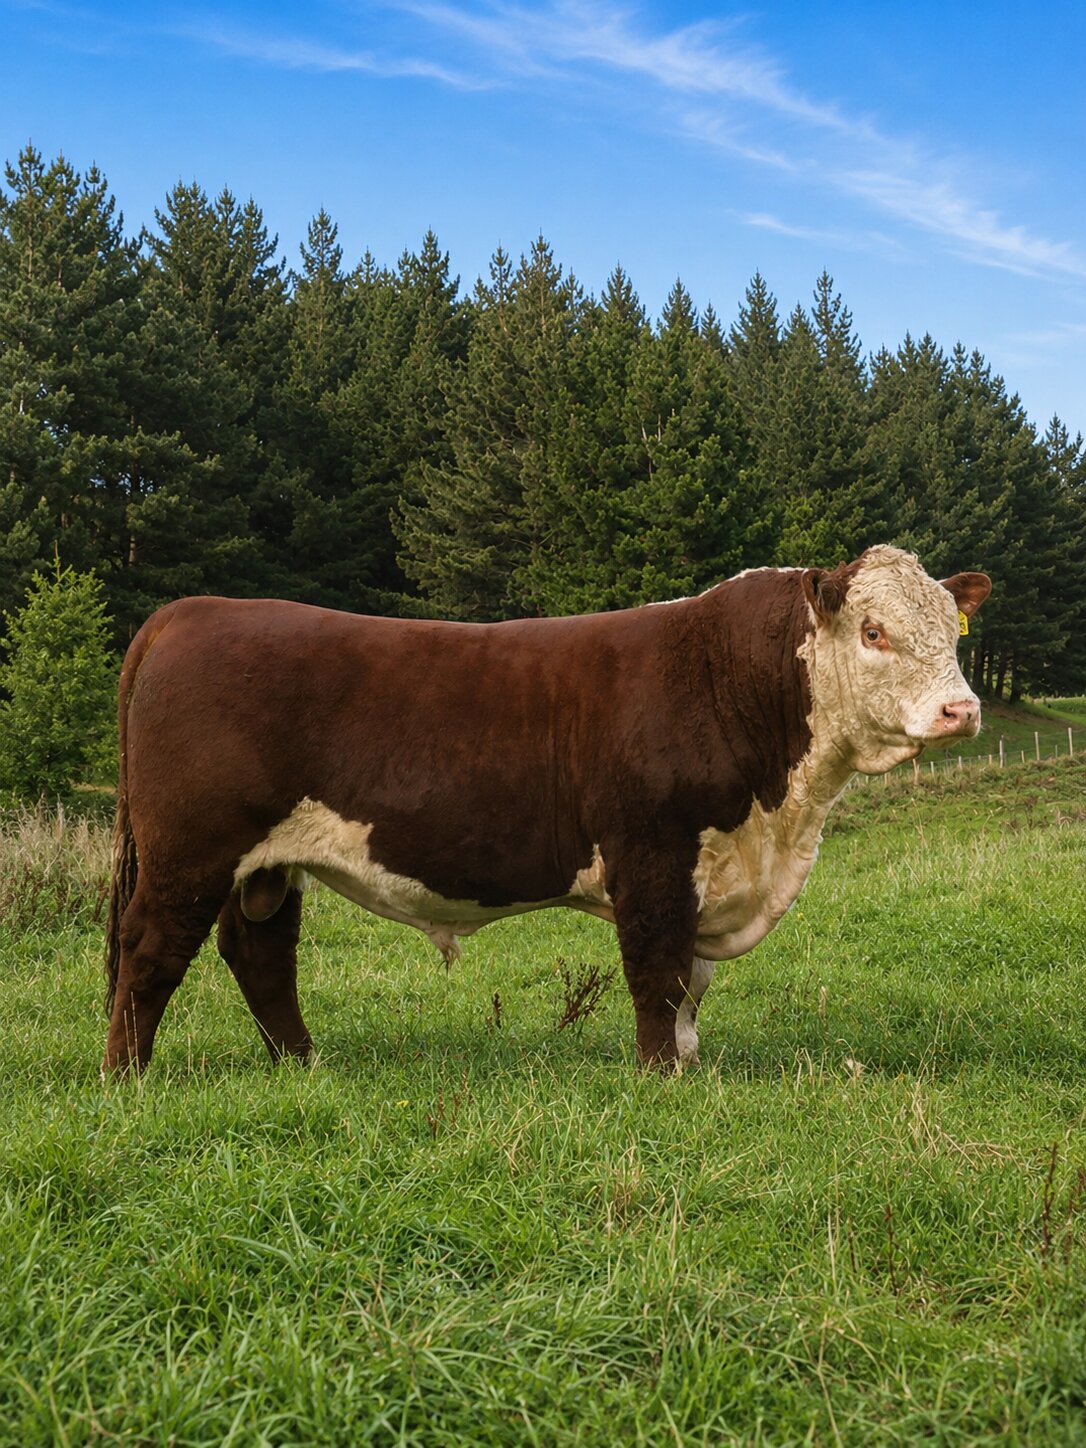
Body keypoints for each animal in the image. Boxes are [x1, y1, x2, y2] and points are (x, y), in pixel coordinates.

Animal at [102, 545, 990, 1076]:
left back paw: (302, 1061)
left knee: (258, 952)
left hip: (266, 861)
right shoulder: (654, 855)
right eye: (873, 631)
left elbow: (693, 984)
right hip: (190, 848)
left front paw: (688, 1063)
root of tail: (190, 610)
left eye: (951, 632)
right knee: (148, 948)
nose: (962, 711)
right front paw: (660, 1073)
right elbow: (659, 972)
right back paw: (126, 1073)